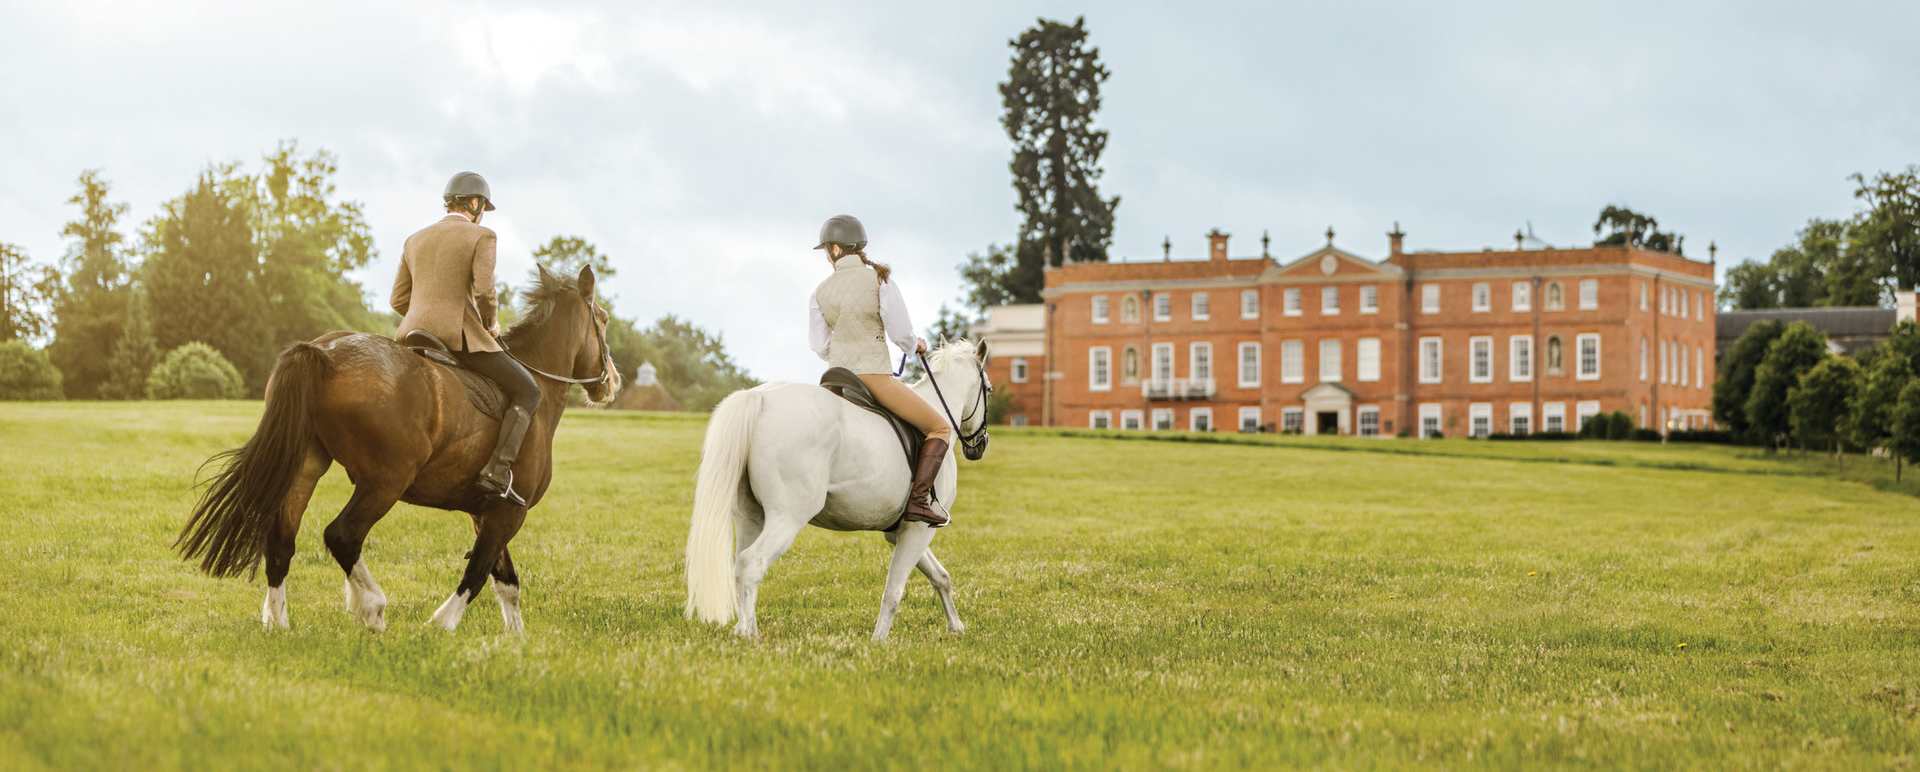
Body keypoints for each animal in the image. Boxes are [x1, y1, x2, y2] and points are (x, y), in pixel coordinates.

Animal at [175, 265, 619, 634]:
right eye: (603, 320)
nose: (610, 382)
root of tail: (325, 352)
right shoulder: (508, 512)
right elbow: (479, 572)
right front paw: (442, 625)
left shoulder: (488, 511)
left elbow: (506, 580)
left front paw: (515, 641)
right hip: (386, 481)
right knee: (342, 535)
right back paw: (371, 607)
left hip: (307, 465)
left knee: (282, 538)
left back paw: (279, 622)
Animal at [683, 338, 992, 640]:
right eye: (988, 388)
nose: (979, 446)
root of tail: (760, 399)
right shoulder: (919, 528)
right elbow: (894, 591)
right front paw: (879, 641)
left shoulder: (900, 531)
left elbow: (940, 577)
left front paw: (956, 627)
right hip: (787, 518)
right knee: (751, 563)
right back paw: (750, 635)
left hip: (751, 517)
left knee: (739, 565)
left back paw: (742, 630)